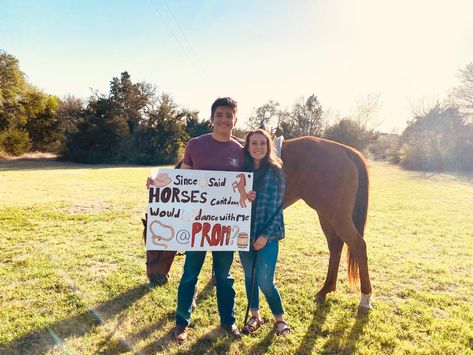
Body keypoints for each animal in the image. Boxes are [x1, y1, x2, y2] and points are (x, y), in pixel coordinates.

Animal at [142, 138, 370, 310]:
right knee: (336, 246)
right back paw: (325, 289)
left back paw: (365, 298)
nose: (154, 278)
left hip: (336, 215)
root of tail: (347, 151)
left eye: (154, 244)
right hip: (327, 214)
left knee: (358, 245)